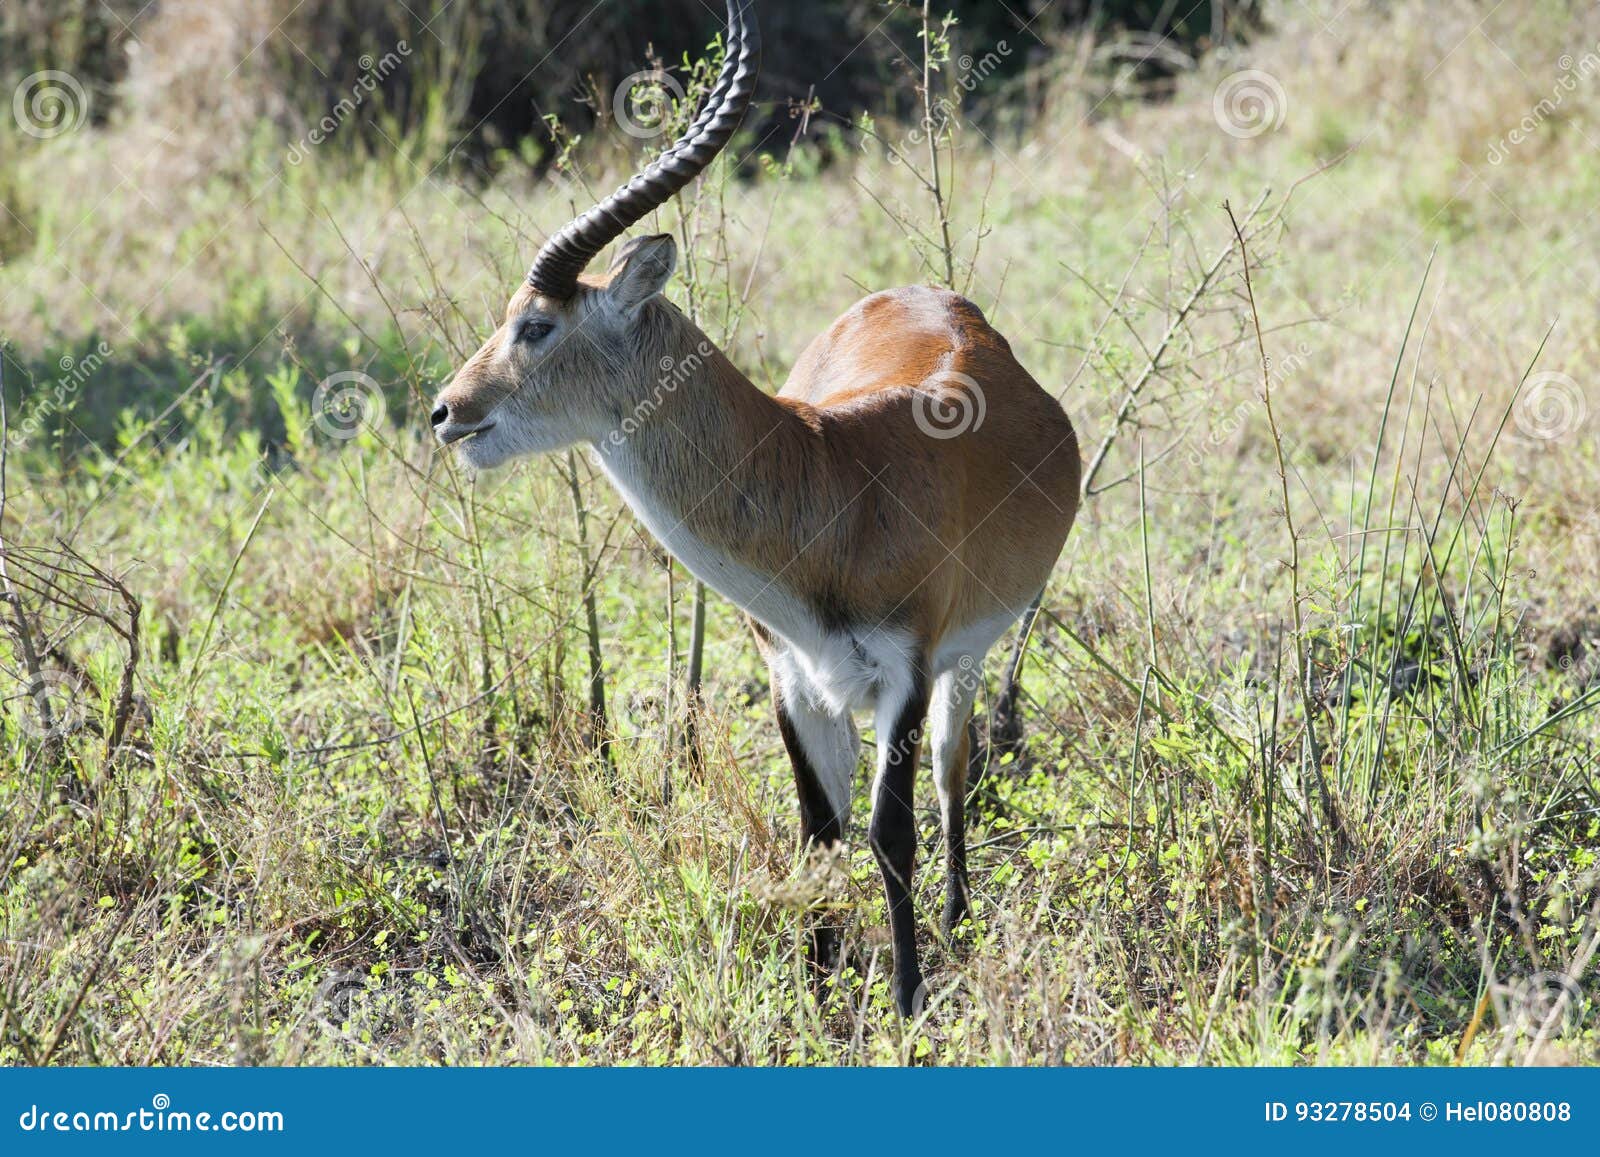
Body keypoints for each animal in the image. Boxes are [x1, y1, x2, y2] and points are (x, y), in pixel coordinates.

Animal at [430, 0, 1079, 1015]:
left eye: (535, 323)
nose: (446, 410)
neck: (830, 483)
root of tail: (943, 298)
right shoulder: (794, 680)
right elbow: (818, 830)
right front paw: (816, 994)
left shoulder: (905, 673)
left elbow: (890, 835)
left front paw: (906, 1005)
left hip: (967, 659)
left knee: (953, 773)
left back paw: (958, 924)